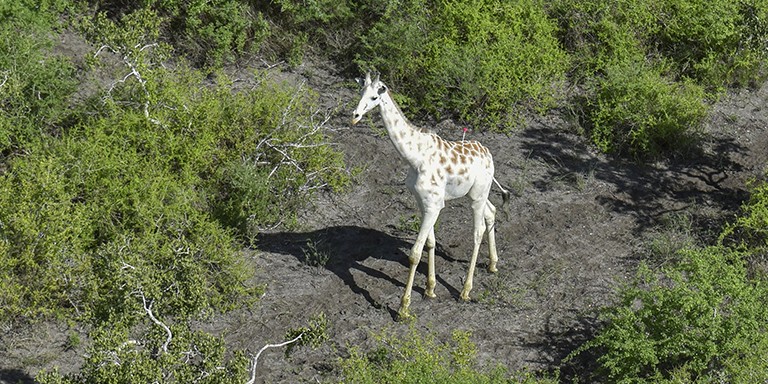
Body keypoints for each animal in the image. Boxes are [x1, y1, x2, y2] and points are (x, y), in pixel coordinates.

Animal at [350, 72, 508, 318]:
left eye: (375, 97)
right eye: (360, 92)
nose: (355, 116)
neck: (414, 157)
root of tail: (489, 155)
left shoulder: (433, 204)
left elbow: (415, 253)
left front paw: (403, 308)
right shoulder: (423, 202)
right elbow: (431, 243)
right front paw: (430, 289)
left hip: (477, 196)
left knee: (477, 231)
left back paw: (465, 291)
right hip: (476, 193)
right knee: (491, 212)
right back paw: (492, 264)